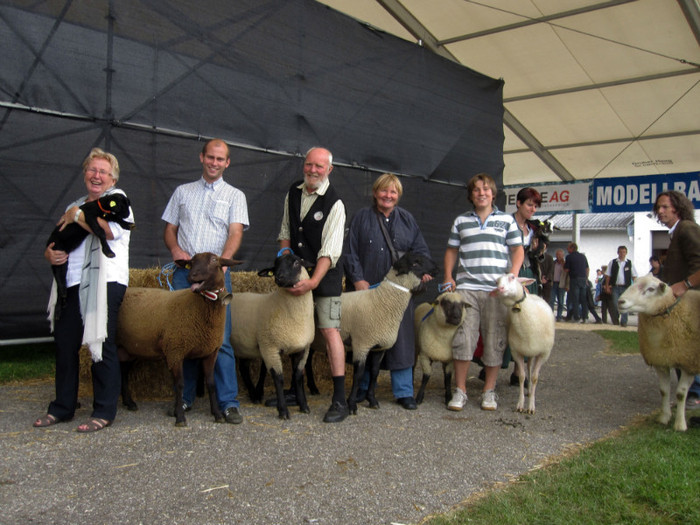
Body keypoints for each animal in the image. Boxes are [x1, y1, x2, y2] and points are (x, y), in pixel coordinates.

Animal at [117, 251, 241, 426]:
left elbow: (211, 384)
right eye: (191, 262)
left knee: (123, 371)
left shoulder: (210, 352)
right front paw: (180, 417)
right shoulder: (175, 351)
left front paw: (217, 414)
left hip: (129, 348)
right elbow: (180, 385)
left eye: (214, 260)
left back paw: (129, 403)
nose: (192, 276)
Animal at [230, 252, 314, 420]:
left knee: (243, 368)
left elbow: (298, 376)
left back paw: (254, 395)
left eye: (296, 262)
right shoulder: (270, 347)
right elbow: (278, 378)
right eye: (275, 266)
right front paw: (283, 411)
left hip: (244, 345)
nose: (279, 277)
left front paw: (303, 406)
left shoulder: (303, 349)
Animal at [494, 270, 556, 414]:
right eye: (496, 281)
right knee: (528, 368)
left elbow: (535, 377)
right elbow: (522, 376)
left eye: (512, 277)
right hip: (528, 352)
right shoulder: (517, 352)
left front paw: (531, 406)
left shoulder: (544, 354)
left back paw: (530, 391)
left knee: (531, 371)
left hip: (535, 353)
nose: (500, 289)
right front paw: (520, 404)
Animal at [616, 274, 700, 430]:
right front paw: (664, 417)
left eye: (651, 289)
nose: (620, 301)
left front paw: (680, 425)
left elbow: (680, 394)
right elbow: (664, 390)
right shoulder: (660, 360)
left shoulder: (689, 363)